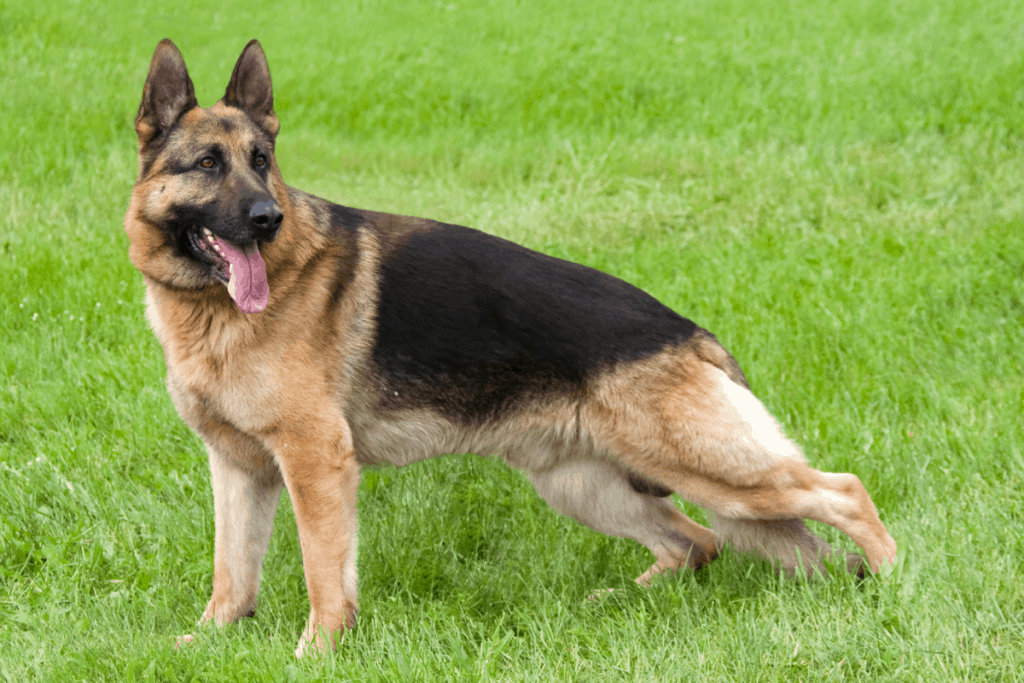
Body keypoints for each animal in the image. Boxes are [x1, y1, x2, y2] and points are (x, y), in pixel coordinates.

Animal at [125, 38, 897, 655]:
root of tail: (691, 332)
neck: (214, 309)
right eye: (208, 164)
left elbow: (323, 570)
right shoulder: (237, 467)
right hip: (587, 487)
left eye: (261, 161)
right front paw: (211, 639)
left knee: (844, 492)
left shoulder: (315, 462)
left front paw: (318, 651)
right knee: (700, 542)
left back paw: (891, 584)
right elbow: (232, 571)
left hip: (708, 467)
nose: (267, 218)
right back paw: (624, 600)